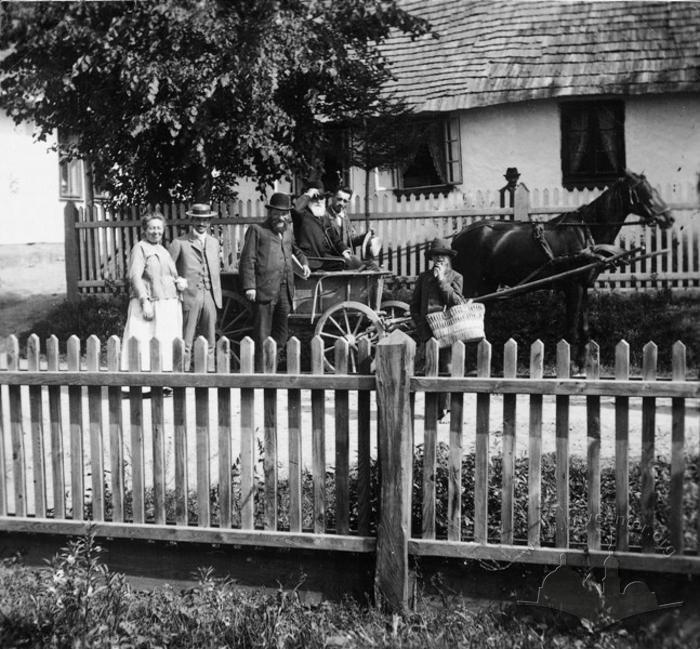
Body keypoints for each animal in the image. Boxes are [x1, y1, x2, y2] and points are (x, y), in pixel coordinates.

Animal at [452, 170, 676, 368]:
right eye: (644, 191)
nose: (670, 218)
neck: (586, 232)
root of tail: (458, 236)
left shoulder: (584, 286)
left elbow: (584, 329)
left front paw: (582, 365)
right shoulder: (573, 287)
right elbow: (571, 331)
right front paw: (571, 366)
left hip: (487, 284)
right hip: (471, 285)